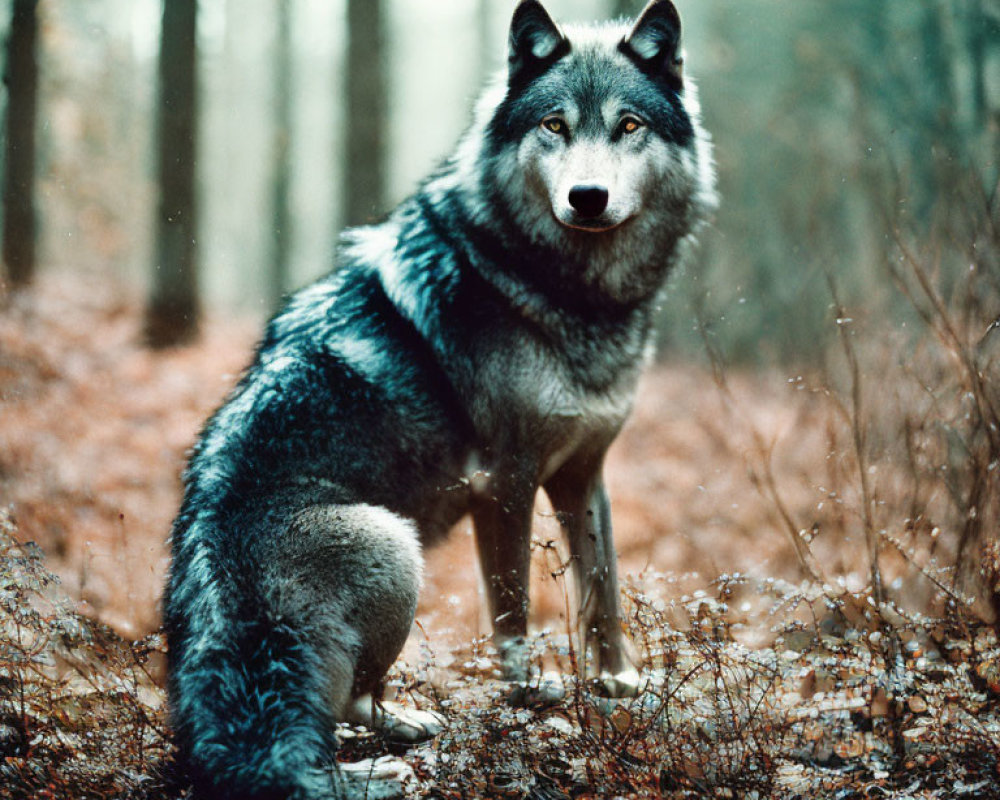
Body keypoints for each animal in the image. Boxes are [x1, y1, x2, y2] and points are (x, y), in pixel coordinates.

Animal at [164, 0, 716, 796]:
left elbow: (603, 592)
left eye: (629, 125)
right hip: (395, 544)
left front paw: (618, 684)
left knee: (346, 709)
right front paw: (531, 693)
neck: (563, 294)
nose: (587, 198)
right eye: (554, 125)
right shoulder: (506, 483)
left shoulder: (584, 475)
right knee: (342, 715)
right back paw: (392, 756)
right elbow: (513, 612)